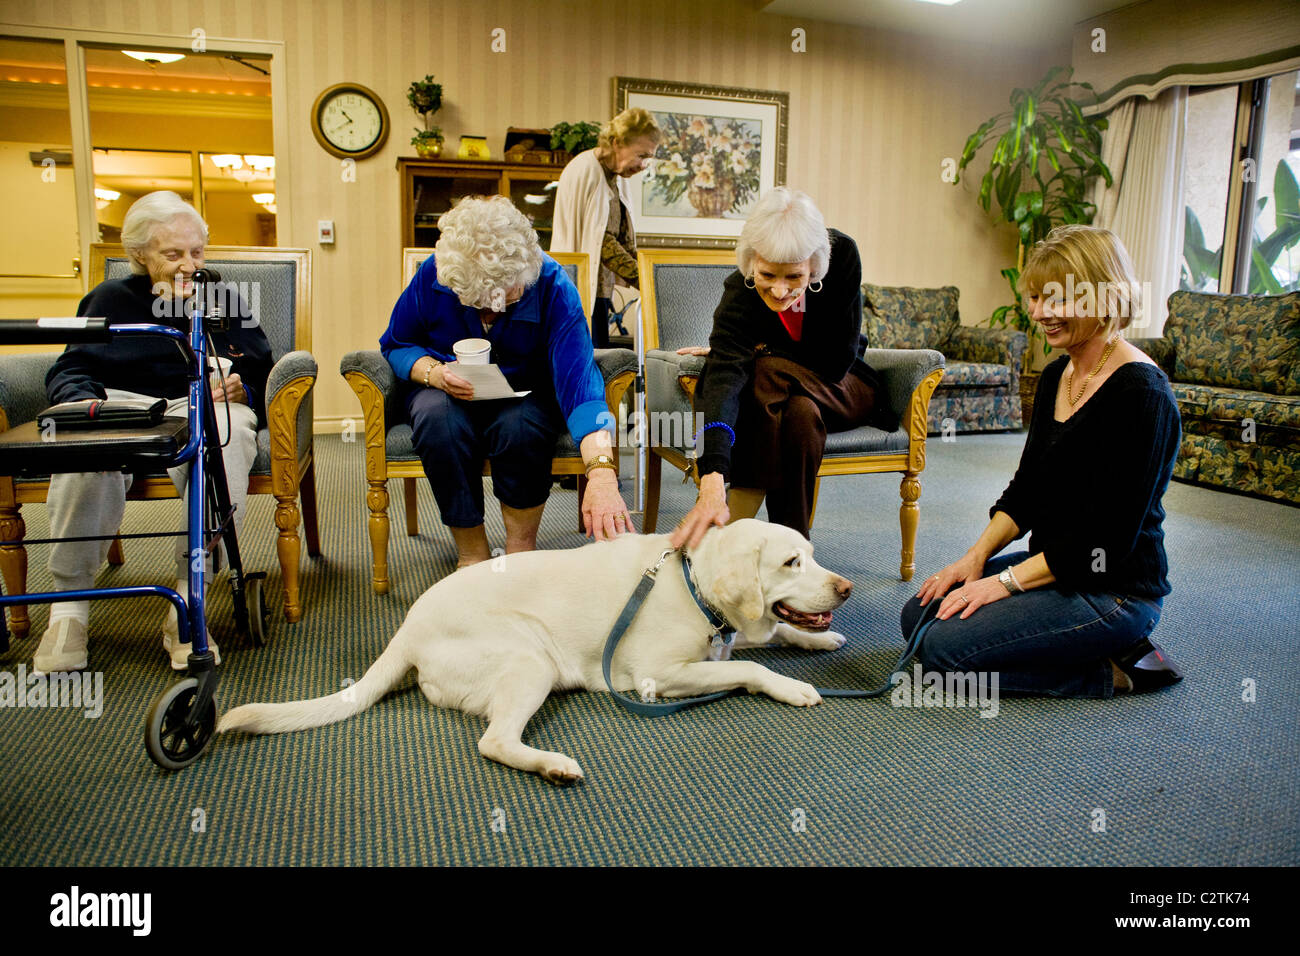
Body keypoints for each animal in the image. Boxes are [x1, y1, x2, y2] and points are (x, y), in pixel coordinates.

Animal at [218, 520, 852, 780]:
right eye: (791, 562)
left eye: (812, 553)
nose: (844, 588)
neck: (693, 580)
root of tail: (408, 628)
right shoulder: (657, 675)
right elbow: (747, 663)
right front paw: (791, 685)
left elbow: (767, 637)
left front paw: (818, 636)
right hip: (531, 661)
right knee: (494, 742)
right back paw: (550, 765)